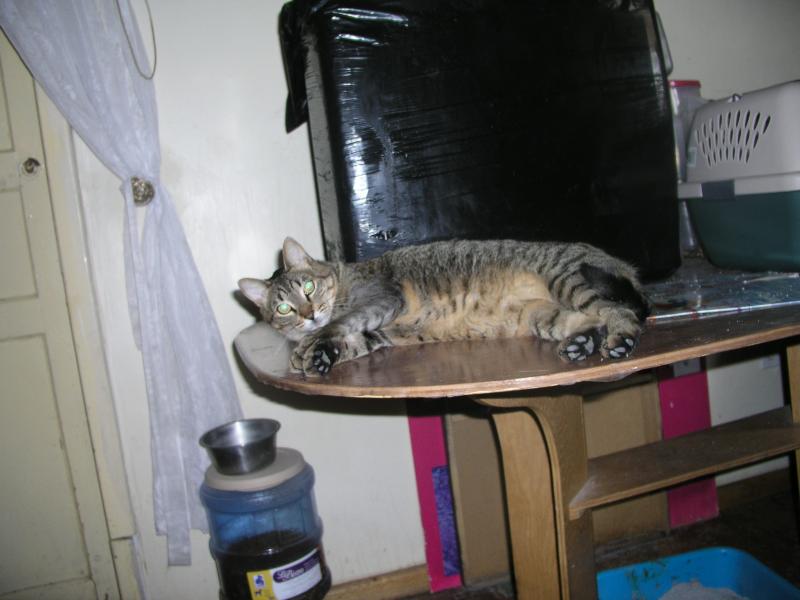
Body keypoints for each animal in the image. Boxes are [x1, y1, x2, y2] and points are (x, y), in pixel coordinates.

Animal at [239, 237, 650, 376]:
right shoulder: (380, 334)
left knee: (623, 313)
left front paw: (310, 347)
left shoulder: (382, 300)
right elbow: (348, 342)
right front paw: (315, 355)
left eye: (308, 287)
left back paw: (621, 341)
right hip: (545, 315)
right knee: (589, 322)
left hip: (570, 279)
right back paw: (582, 343)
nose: (308, 313)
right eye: (283, 309)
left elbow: (339, 325)